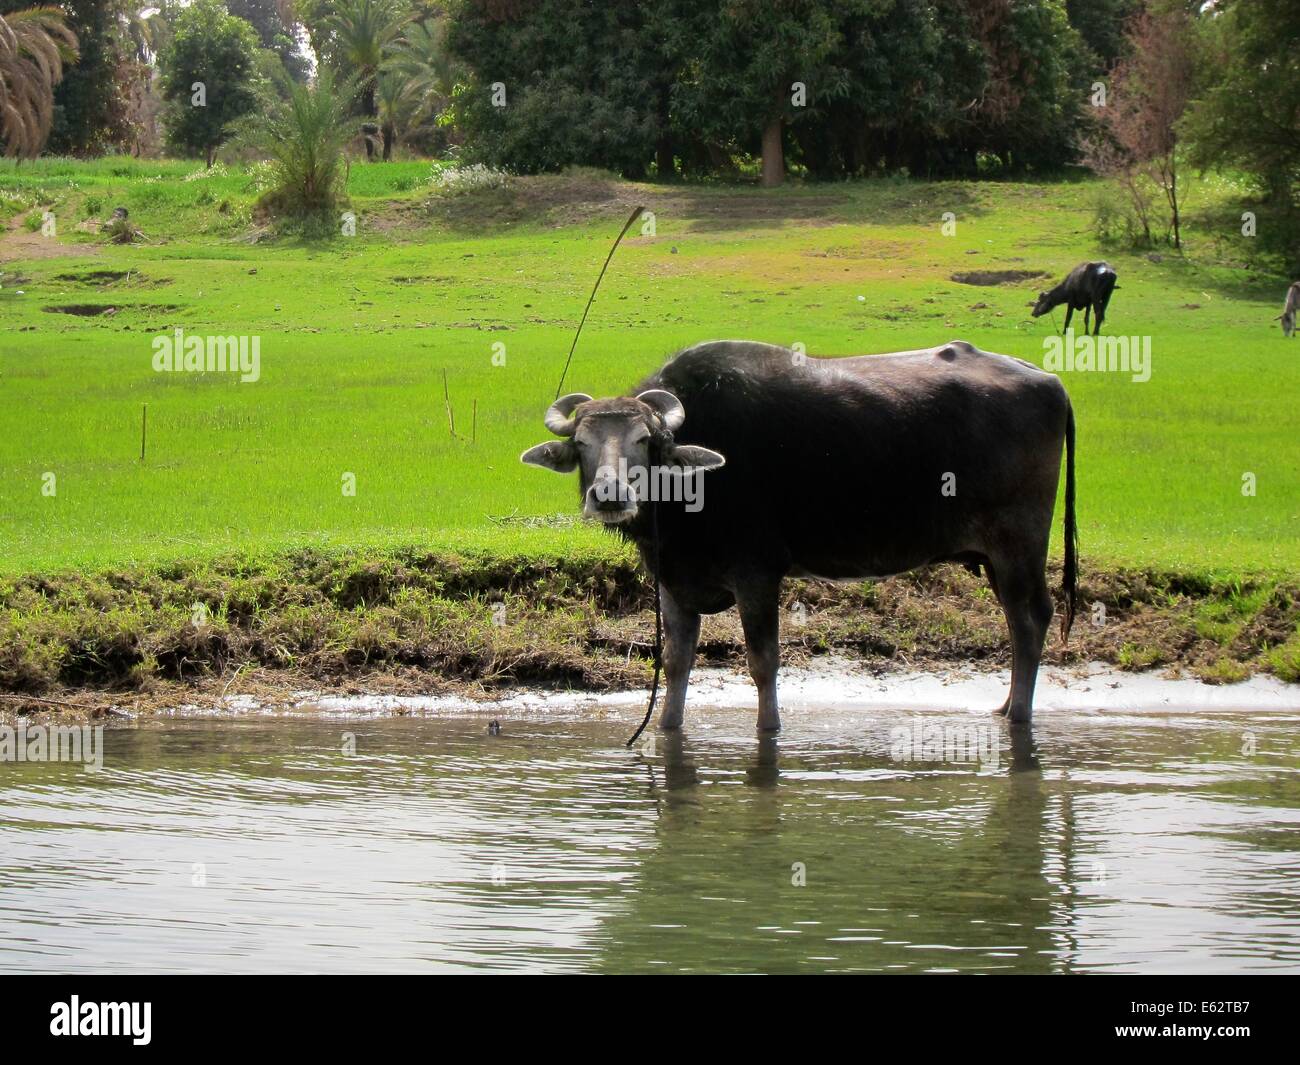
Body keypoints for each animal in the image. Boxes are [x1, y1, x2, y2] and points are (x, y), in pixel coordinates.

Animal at [522, 340, 1081, 733]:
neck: (694, 486)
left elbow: (763, 662)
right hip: (996, 558)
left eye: (643, 440)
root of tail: (1047, 380)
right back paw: (1006, 705)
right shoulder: (675, 581)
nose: (609, 494)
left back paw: (1018, 716)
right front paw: (667, 728)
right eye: (583, 443)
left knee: (1031, 620)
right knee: (1018, 623)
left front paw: (769, 729)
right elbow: (677, 663)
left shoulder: (757, 574)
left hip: (1018, 546)